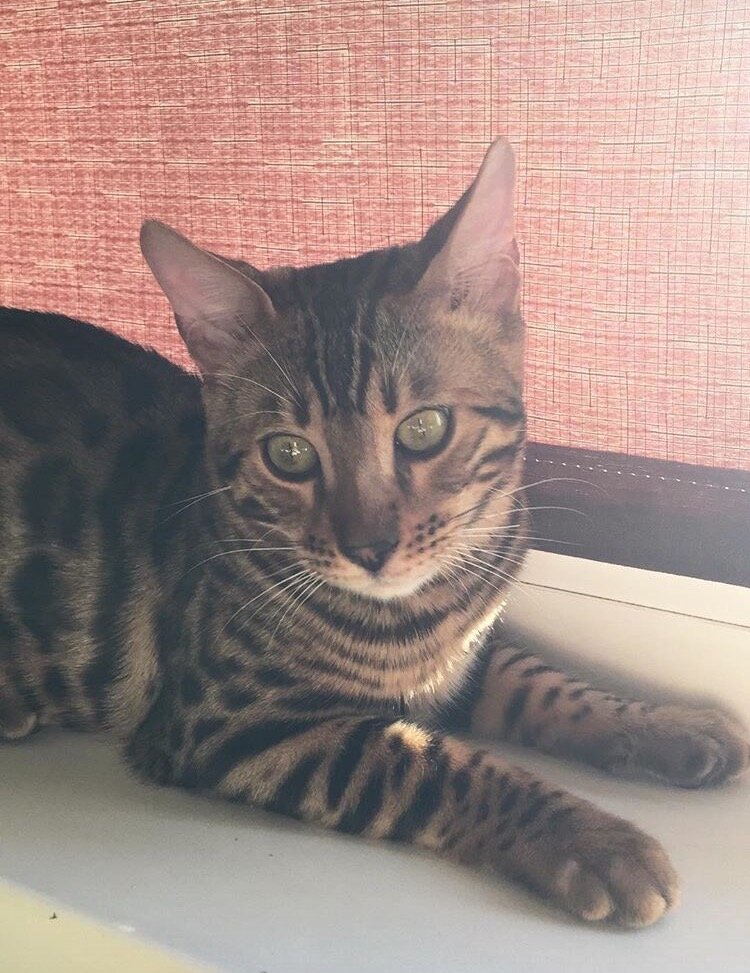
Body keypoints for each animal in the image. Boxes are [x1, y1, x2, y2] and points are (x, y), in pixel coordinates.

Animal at [0, 138, 747, 928]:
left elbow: (545, 684)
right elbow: (434, 766)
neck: (421, 614)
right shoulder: (235, 723)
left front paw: (670, 725)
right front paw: (595, 839)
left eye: (424, 429)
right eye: (288, 454)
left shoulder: (468, 652)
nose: (369, 548)